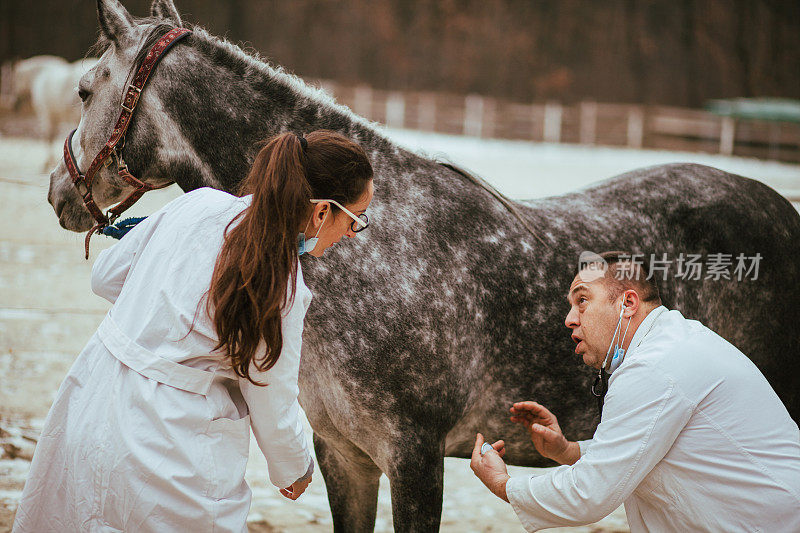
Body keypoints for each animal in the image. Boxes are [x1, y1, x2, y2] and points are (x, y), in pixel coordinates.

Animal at [50, 2, 800, 528]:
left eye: (84, 90)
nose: (60, 194)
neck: (374, 250)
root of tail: (781, 211)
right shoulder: (345, 456)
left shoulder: (415, 457)